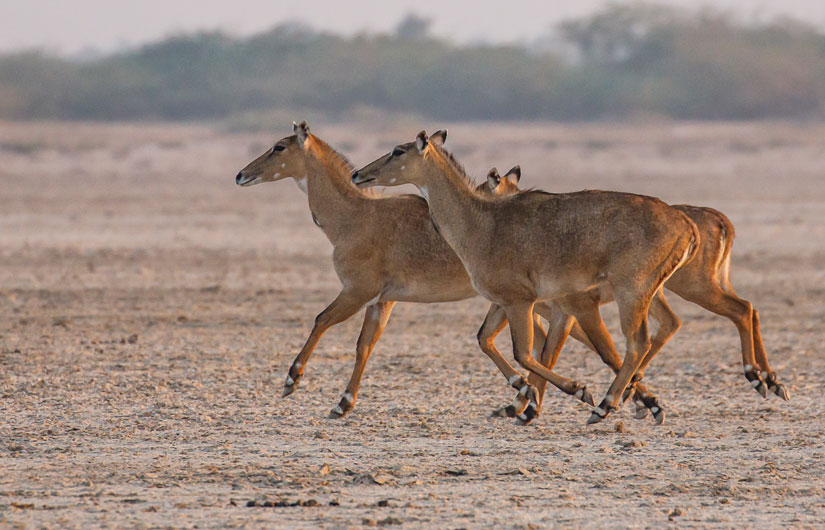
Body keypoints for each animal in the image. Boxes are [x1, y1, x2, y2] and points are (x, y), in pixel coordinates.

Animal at [232, 121, 592, 418]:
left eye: (279, 146)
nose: (240, 175)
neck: (353, 216)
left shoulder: (357, 290)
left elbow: (321, 320)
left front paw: (292, 380)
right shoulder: (382, 300)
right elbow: (364, 345)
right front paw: (343, 403)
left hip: (534, 301)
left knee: (559, 337)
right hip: (525, 303)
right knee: (547, 341)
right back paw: (529, 401)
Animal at [482, 165, 792, 420]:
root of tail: (719, 220)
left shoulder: (570, 308)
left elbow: (578, 351)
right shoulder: (532, 308)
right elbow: (525, 348)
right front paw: (522, 406)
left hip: (686, 288)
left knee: (741, 309)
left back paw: (757, 378)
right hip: (657, 293)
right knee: (699, 317)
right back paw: (770, 380)